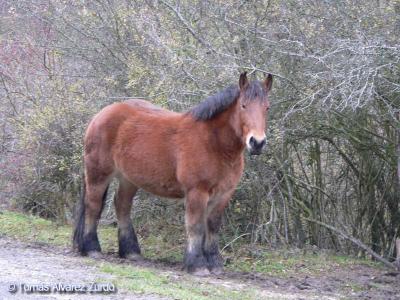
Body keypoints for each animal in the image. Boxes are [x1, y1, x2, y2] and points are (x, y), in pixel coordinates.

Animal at [72, 72, 272, 274]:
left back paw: (131, 252)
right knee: (93, 205)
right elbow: (196, 226)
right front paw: (197, 264)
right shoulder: (196, 192)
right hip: (98, 174)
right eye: (243, 105)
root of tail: (101, 114)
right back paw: (92, 248)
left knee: (122, 205)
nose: (257, 142)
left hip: (128, 179)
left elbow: (213, 226)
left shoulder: (224, 194)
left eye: (267, 107)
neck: (213, 143)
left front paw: (214, 263)